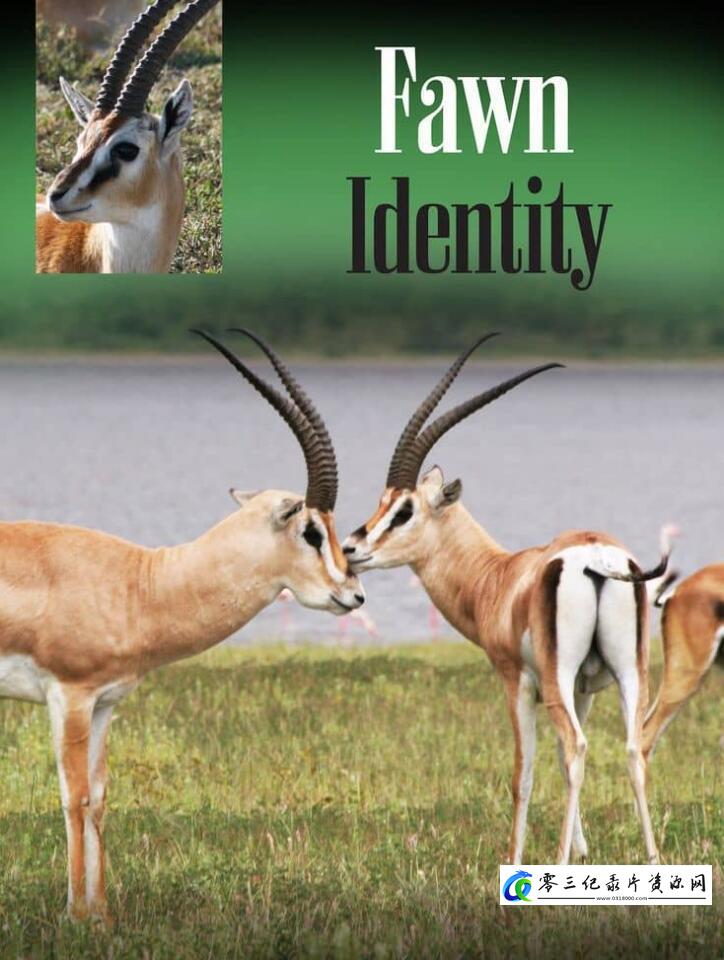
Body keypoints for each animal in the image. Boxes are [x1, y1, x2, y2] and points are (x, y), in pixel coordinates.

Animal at [0, 328, 364, 923]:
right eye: (311, 530)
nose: (354, 594)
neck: (139, 584)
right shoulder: (69, 695)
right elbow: (74, 797)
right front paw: (75, 917)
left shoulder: (105, 702)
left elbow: (99, 798)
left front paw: (101, 917)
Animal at [342, 334, 670, 866]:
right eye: (382, 501)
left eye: (404, 510)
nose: (351, 548)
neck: (496, 579)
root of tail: (597, 557)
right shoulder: (583, 688)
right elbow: (560, 759)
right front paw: (582, 849)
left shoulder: (517, 682)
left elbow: (525, 772)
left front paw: (516, 858)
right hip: (630, 671)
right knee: (632, 748)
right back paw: (653, 860)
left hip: (560, 679)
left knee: (578, 748)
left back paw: (555, 866)